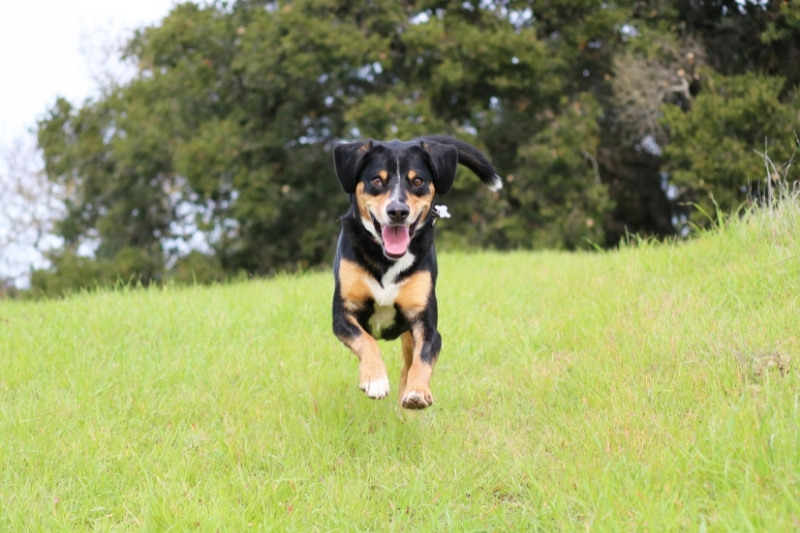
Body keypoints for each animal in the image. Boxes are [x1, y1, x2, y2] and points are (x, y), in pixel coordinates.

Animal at [332, 136, 500, 408]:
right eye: (376, 180)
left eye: (418, 181)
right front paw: (375, 379)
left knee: (408, 364)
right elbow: (366, 340)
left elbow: (423, 358)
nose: (398, 211)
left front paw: (418, 391)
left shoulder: (425, 323)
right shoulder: (343, 313)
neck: (387, 260)